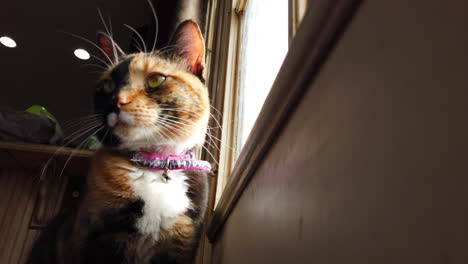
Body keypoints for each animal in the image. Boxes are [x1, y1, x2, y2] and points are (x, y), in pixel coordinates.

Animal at [28, 19, 210, 262]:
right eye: (107, 86)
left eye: (155, 80)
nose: (117, 101)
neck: (153, 166)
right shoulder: (97, 237)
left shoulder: (181, 242)